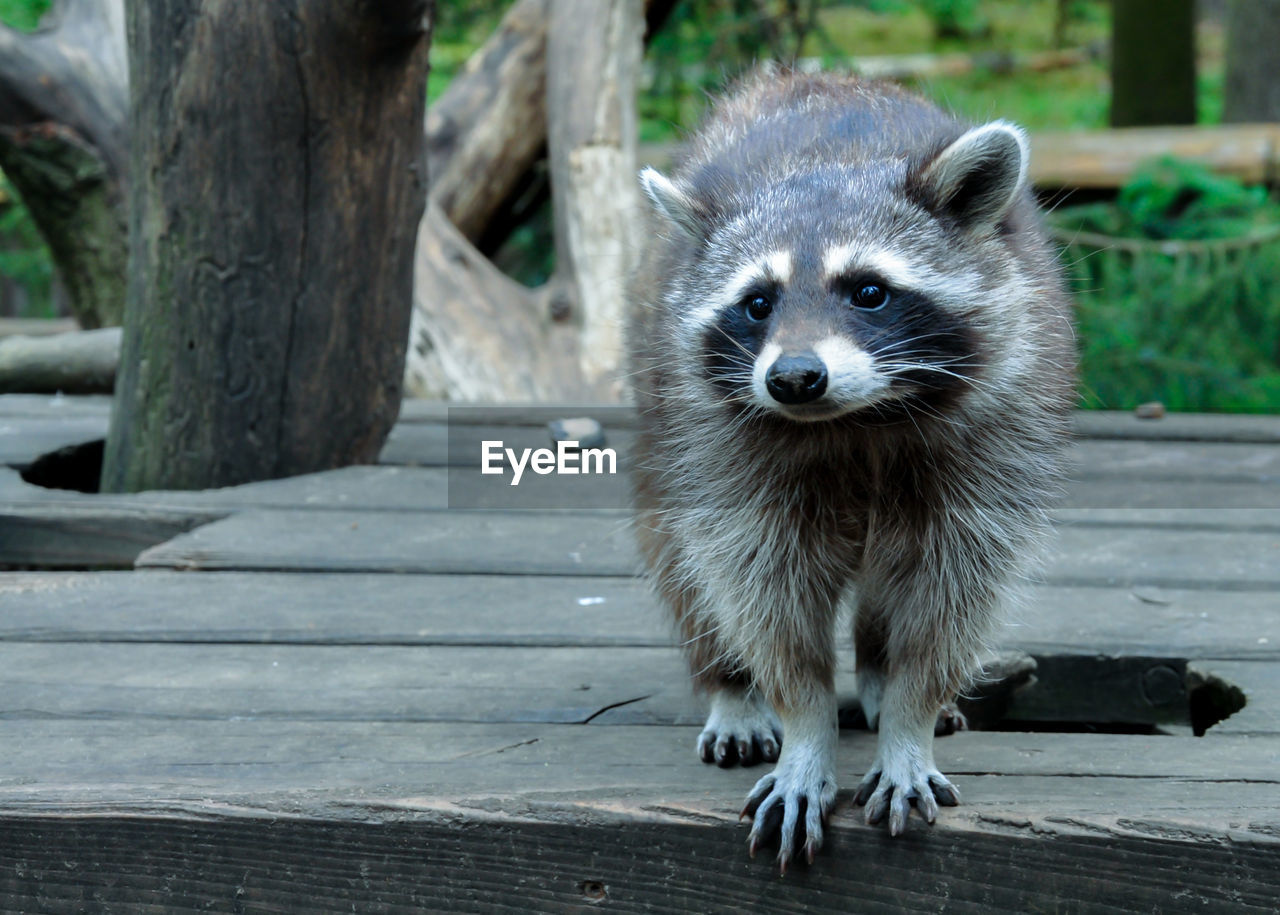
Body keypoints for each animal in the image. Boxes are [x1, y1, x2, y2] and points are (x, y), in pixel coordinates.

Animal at [624, 69, 1075, 865]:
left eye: (868, 290)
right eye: (757, 303)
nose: (794, 378)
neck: (857, 422)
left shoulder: (999, 431)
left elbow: (953, 591)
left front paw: (909, 716)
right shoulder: (724, 447)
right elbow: (764, 594)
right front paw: (803, 728)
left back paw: (876, 671)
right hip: (661, 415)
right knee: (682, 561)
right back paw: (729, 684)